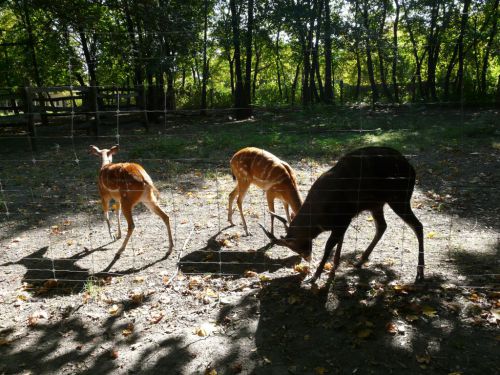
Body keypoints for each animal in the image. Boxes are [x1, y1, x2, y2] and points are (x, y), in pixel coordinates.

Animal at [260, 147, 424, 284]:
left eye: (295, 245)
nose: (307, 257)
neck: (320, 217)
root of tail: (412, 169)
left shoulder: (343, 218)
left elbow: (329, 245)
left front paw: (314, 277)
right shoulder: (344, 220)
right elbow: (340, 241)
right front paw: (334, 266)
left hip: (399, 197)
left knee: (417, 225)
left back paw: (420, 272)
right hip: (376, 204)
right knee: (382, 226)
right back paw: (360, 260)